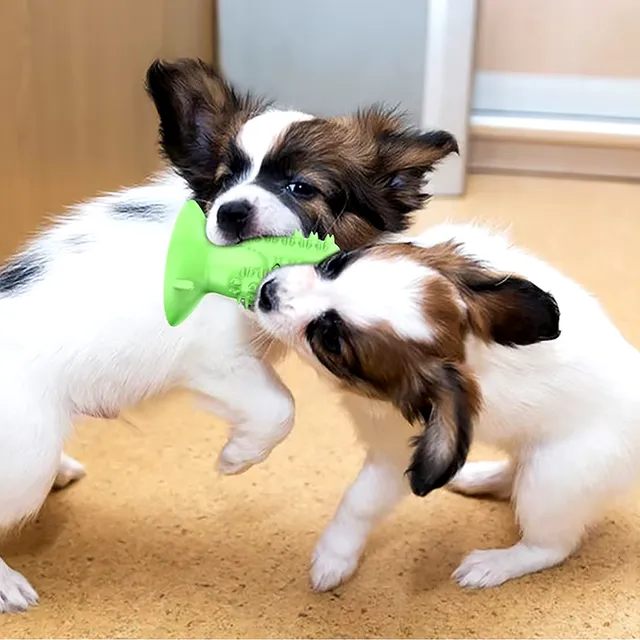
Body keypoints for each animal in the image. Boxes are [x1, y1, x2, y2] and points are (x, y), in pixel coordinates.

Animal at [0, 57, 460, 612]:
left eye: (301, 188)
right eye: (224, 183)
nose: (231, 211)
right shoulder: (217, 360)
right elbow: (281, 408)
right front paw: (239, 457)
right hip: (27, 454)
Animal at [255, 222, 640, 592]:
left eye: (330, 340)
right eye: (335, 263)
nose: (266, 291)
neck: (468, 351)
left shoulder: (393, 455)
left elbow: (358, 502)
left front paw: (333, 557)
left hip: (550, 480)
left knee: (550, 546)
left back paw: (494, 564)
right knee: (512, 474)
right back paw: (476, 477)